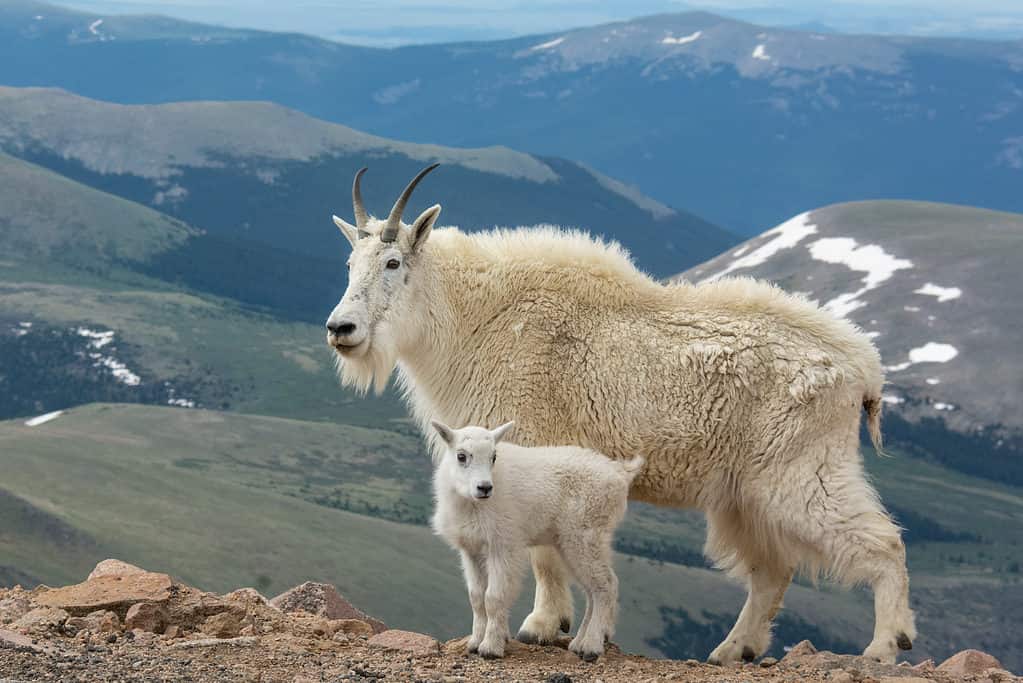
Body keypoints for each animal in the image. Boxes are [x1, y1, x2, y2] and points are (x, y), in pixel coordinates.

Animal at [327, 163, 920, 662]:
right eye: (350, 263)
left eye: (393, 262)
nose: (340, 329)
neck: (475, 316)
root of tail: (863, 369)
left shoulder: (534, 446)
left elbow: (543, 553)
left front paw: (543, 626)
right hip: (745, 493)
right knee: (772, 569)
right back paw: (733, 650)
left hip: (799, 469)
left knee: (881, 542)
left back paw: (886, 645)